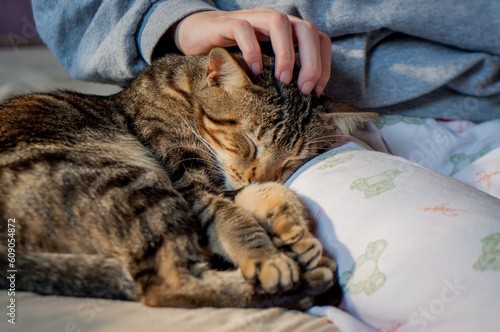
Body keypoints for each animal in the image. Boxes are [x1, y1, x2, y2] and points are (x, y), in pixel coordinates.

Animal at [0, 47, 376, 308]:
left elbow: (263, 194)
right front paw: (267, 256)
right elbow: (230, 214)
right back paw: (307, 283)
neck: (182, 91)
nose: (255, 176)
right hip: (129, 183)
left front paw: (293, 229)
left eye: (294, 159)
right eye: (250, 141)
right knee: (169, 285)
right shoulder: (188, 178)